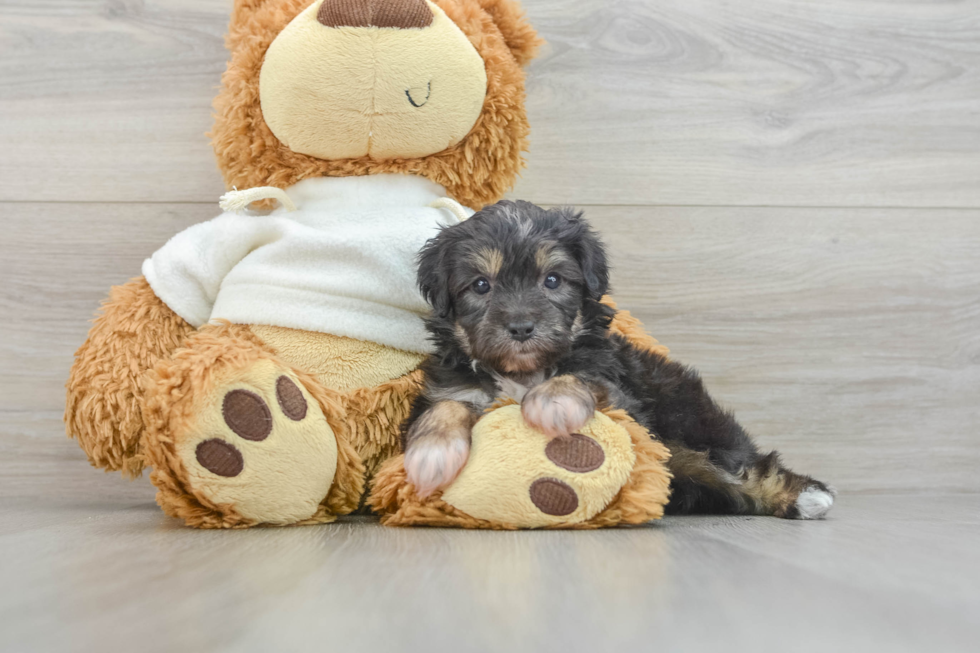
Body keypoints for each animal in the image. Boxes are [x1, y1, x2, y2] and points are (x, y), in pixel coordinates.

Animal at [402, 200, 840, 520]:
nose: (522, 327)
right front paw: (432, 452)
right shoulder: (451, 387)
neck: (523, 372)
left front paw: (554, 401)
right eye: (481, 286)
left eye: (552, 280)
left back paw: (807, 497)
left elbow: (579, 374)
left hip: (694, 426)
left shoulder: (619, 392)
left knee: (744, 467)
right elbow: (445, 407)